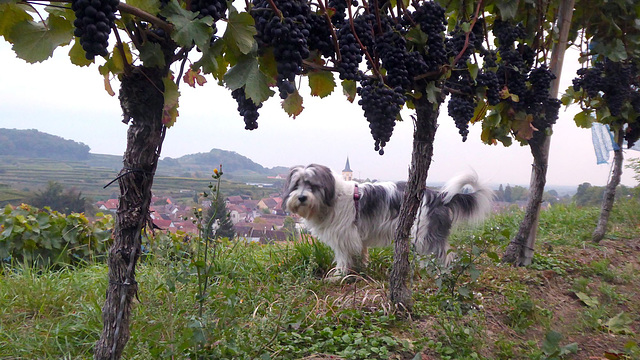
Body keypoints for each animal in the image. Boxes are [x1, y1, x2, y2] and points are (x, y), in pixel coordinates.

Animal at [282, 164, 496, 276]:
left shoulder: (344, 237)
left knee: (442, 256)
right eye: (296, 185)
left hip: (423, 233)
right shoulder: (357, 238)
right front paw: (360, 269)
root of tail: (439, 196)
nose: (301, 197)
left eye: (312, 185)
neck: (333, 197)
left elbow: (343, 258)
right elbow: (360, 255)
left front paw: (338, 275)